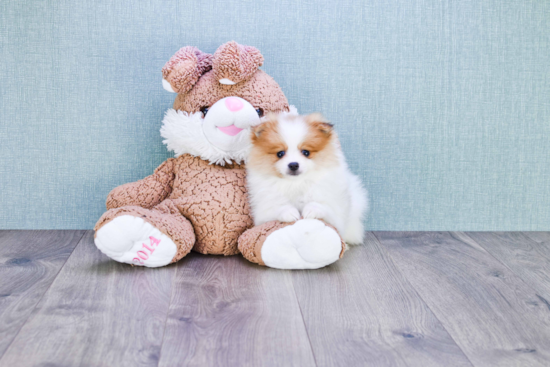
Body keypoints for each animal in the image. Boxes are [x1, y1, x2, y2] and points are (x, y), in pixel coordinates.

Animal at [248, 112, 368, 244]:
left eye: (306, 152)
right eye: (280, 153)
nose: (293, 164)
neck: (296, 183)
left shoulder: (336, 211)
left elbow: (323, 206)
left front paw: (311, 210)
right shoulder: (263, 211)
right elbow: (277, 207)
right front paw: (289, 212)